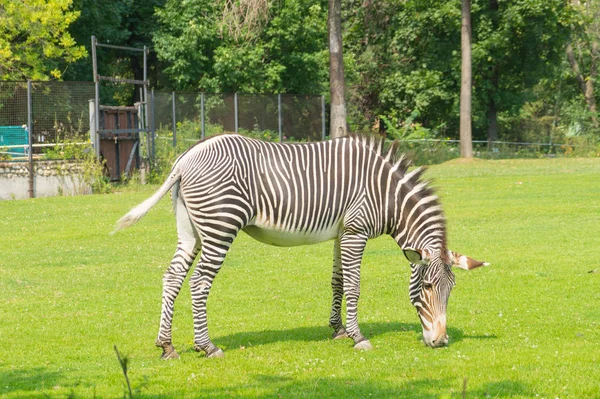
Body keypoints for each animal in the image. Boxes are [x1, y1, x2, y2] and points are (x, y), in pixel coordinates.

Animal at [113, 134, 488, 360]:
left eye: (451, 290)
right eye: (427, 287)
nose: (440, 341)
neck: (387, 194)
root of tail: (186, 157)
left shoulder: (342, 232)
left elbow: (338, 282)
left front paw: (338, 330)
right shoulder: (356, 231)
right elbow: (354, 285)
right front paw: (358, 337)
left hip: (190, 229)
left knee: (173, 277)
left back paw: (167, 345)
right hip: (220, 226)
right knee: (199, 283)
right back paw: (207, 346)